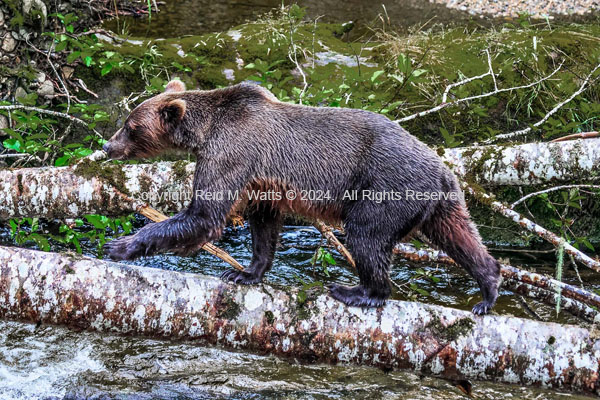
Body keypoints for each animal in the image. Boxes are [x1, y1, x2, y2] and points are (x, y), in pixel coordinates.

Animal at [103, 79, 502, 314]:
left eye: (130, 126)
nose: (108, 145)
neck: (206, 131)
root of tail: (443, 169)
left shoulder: (231, 153)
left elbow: (204, 214)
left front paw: (119, 246)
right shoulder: (261, 182)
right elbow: (264, 225)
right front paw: (245, 272)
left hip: (385, 188)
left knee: (367, 237)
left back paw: (357, 291)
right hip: (440, 201)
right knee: (461, 237)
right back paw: (488, 288)